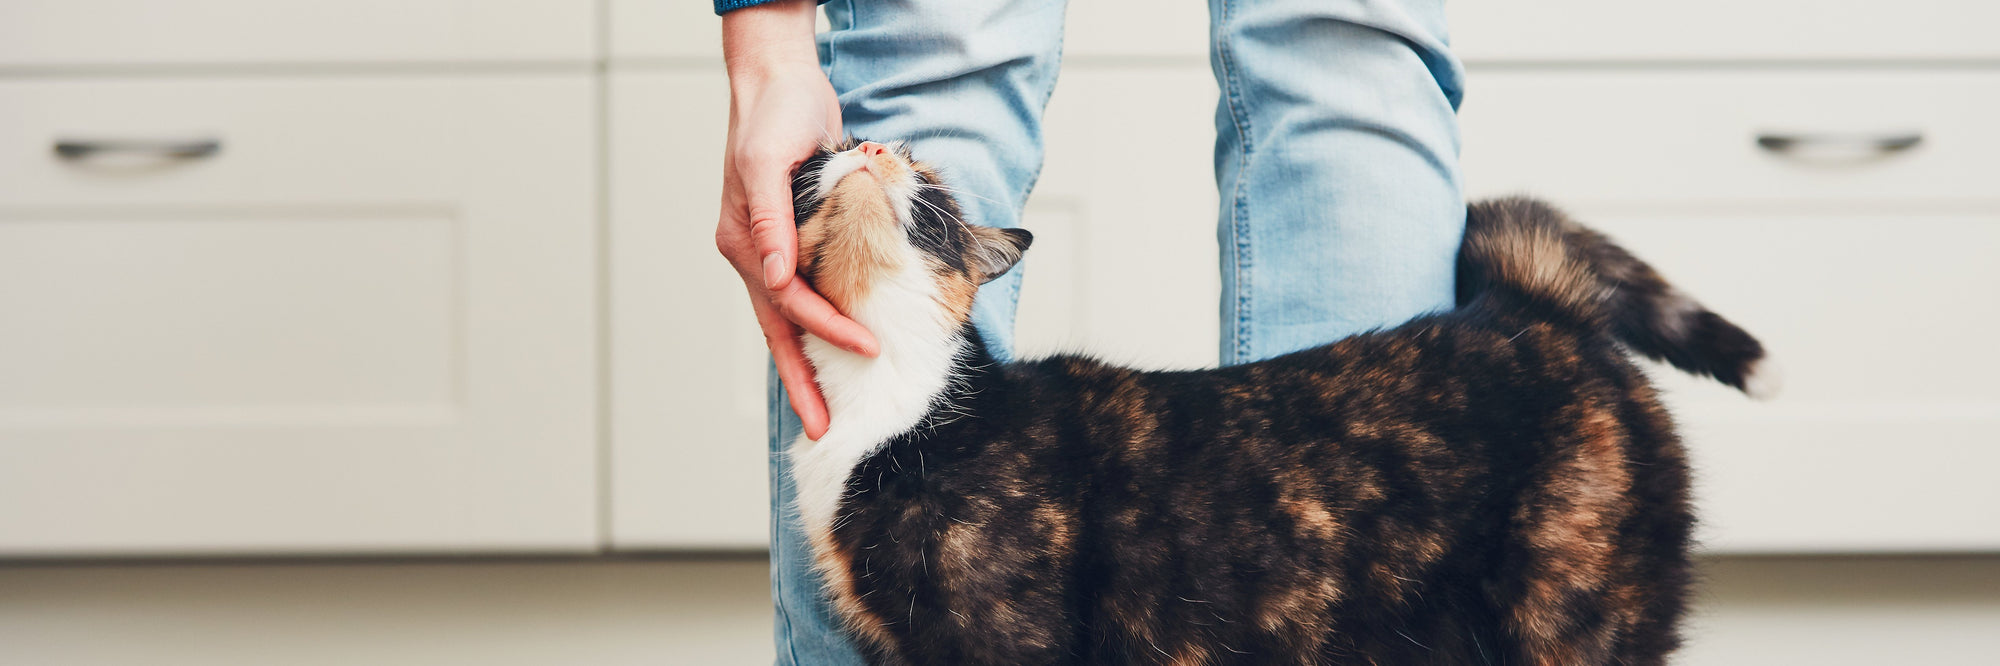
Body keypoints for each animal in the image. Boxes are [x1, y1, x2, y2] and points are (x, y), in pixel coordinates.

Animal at [788, 137, 1776, 660]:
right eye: (826, 156)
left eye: (930, 184)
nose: (869, 146)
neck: (891, 403)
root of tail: (1530, 304)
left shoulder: (1006, 636)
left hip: (1571, 614)